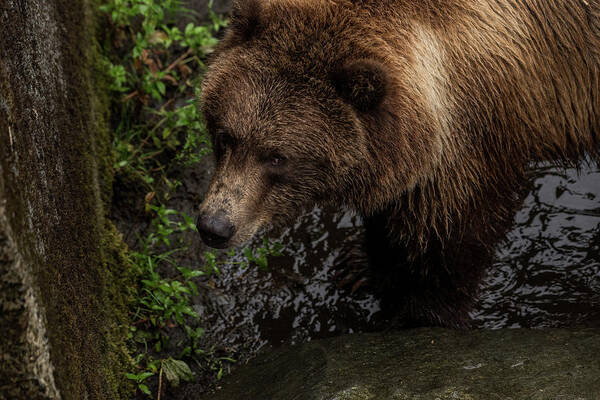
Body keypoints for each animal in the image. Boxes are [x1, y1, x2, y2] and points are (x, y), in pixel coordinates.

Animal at [198, 0, 600, 326]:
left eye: (278, 157)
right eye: (226, 136)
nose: (214, 226)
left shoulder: (476, 138)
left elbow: (451, 237)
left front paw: (418, 316)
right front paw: (360, 266)